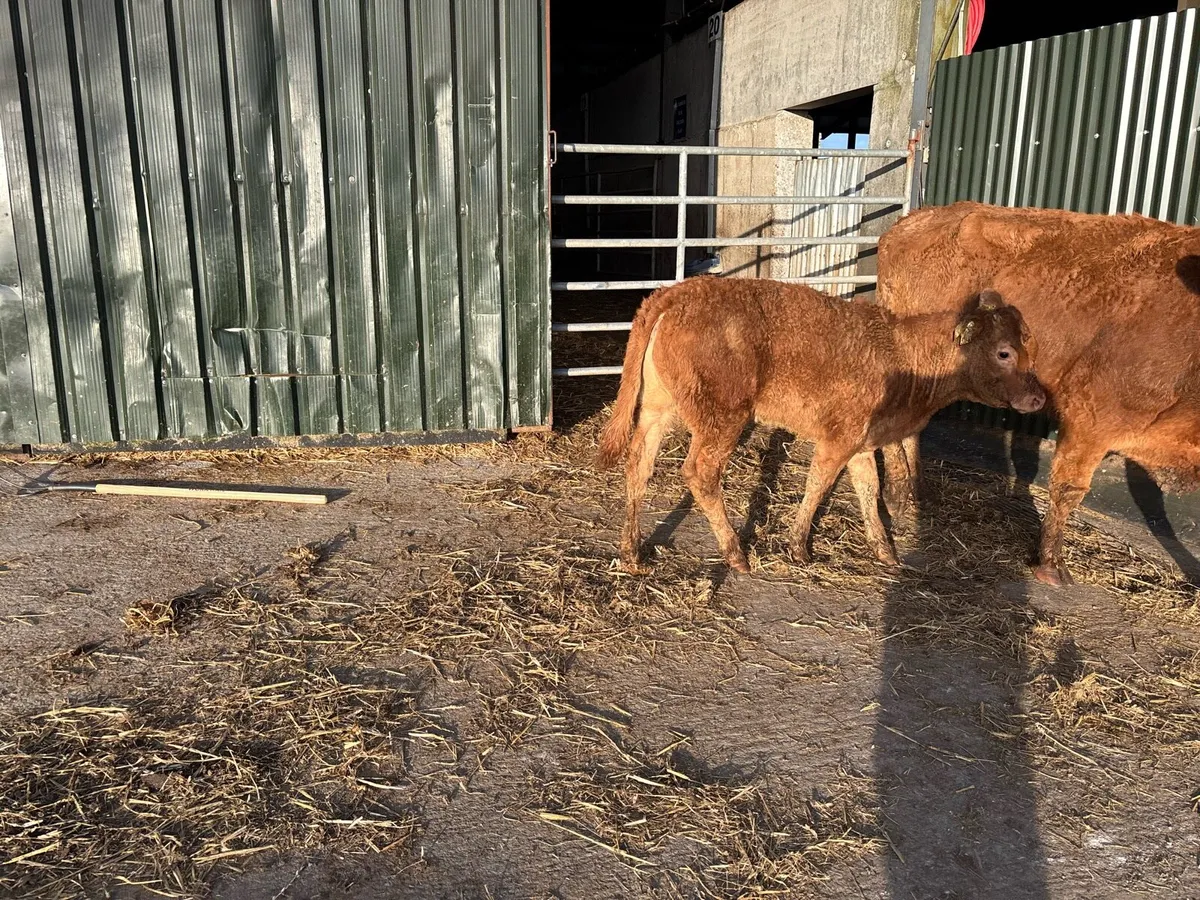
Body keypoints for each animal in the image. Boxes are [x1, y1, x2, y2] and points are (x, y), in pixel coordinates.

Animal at [595, 276, 1045, 574]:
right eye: (1004, 352)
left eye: (1028, 344)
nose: (1039, 397)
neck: (902, 352)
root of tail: (677, 292)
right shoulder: (838, 438)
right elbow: (818, 485)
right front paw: (798, 546)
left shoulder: (863, 442)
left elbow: (869, 490)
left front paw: (886, 551)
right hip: (723, 418)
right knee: (699, 473)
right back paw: (735, 554)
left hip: (657, 408)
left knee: (639, 464)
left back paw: (632, 553)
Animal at [876, 201, 1200, 586]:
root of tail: (910, 221)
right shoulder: (1091, 418)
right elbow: (1068, 488)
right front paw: (1051, 564)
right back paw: (897, 498)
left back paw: (917, 493)